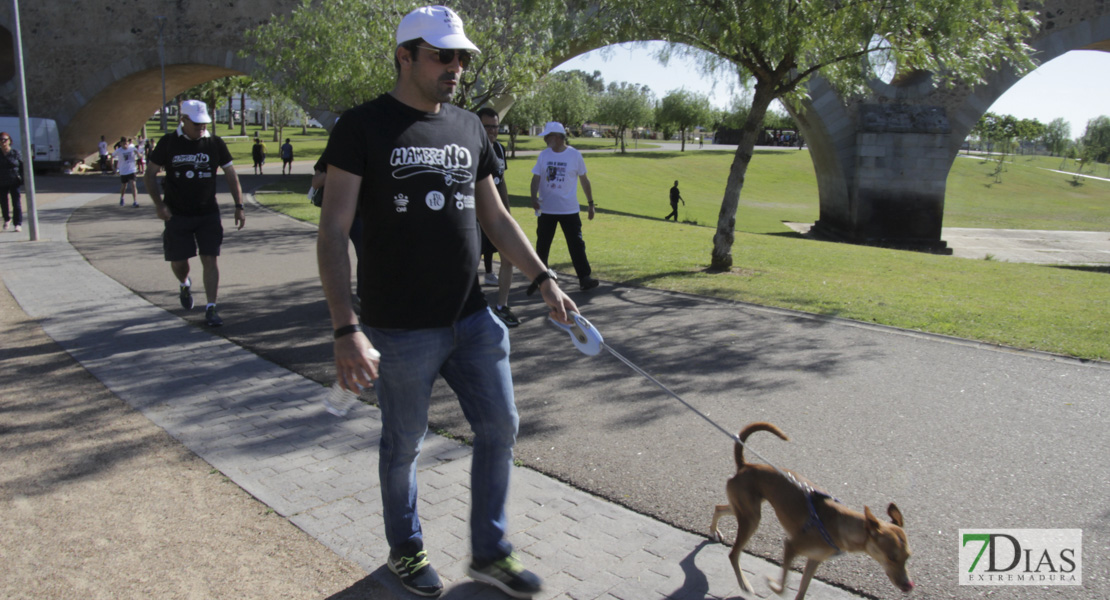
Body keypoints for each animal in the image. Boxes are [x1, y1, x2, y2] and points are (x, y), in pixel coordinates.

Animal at [710, 421, 910, 598]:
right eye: (892, 557)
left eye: (907, 557)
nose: (909, 586)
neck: (842, 525)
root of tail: (746, 466)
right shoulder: (791, 546)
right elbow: (782, 587)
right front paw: (772, 584)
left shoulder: (814, 560)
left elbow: (801, 591)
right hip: (751, 518)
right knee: (733, 554)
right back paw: (744, 583)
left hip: (744, 509)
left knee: (719, 508)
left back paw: (714, 532)